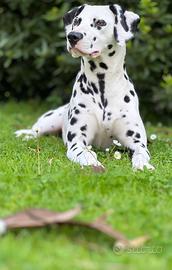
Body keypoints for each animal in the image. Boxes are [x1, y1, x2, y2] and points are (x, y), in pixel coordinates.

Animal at [15, 3, 155, 171]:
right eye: (77, 21)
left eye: (100, 22)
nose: (73, 36)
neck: (102, 85)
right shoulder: (77, 143)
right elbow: (85, 153)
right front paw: (93, 163)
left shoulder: (137, 141)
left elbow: (141, 152)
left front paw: (143, 165)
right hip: (50, 120)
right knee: (35, 131)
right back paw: (25, 135)